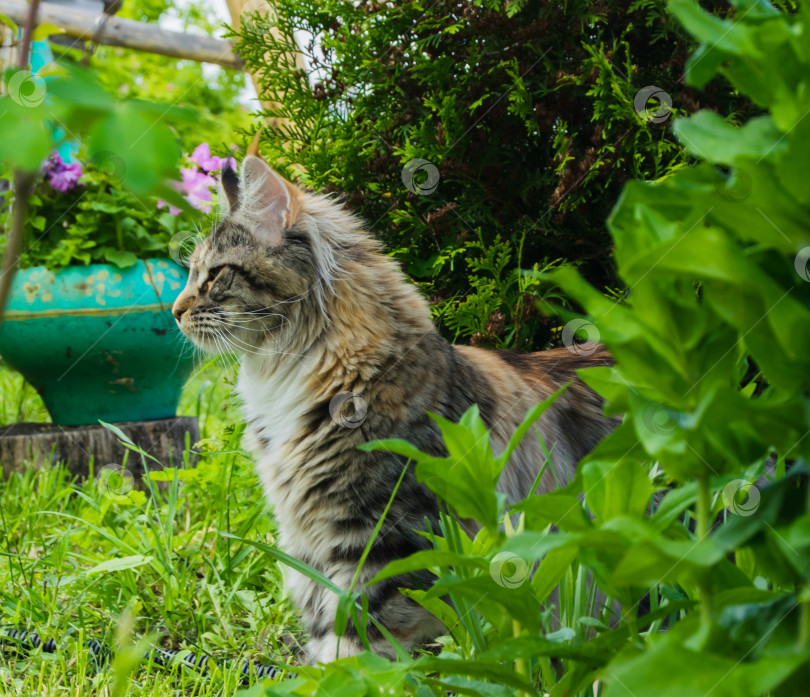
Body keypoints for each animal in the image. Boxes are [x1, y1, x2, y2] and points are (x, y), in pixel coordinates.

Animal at [172, 152, 612, 664]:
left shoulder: (386, 537)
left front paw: (342, 674)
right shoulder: (308, 541)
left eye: (214, 275)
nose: (175, 312)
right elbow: (322, 626)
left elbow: (355, 638)